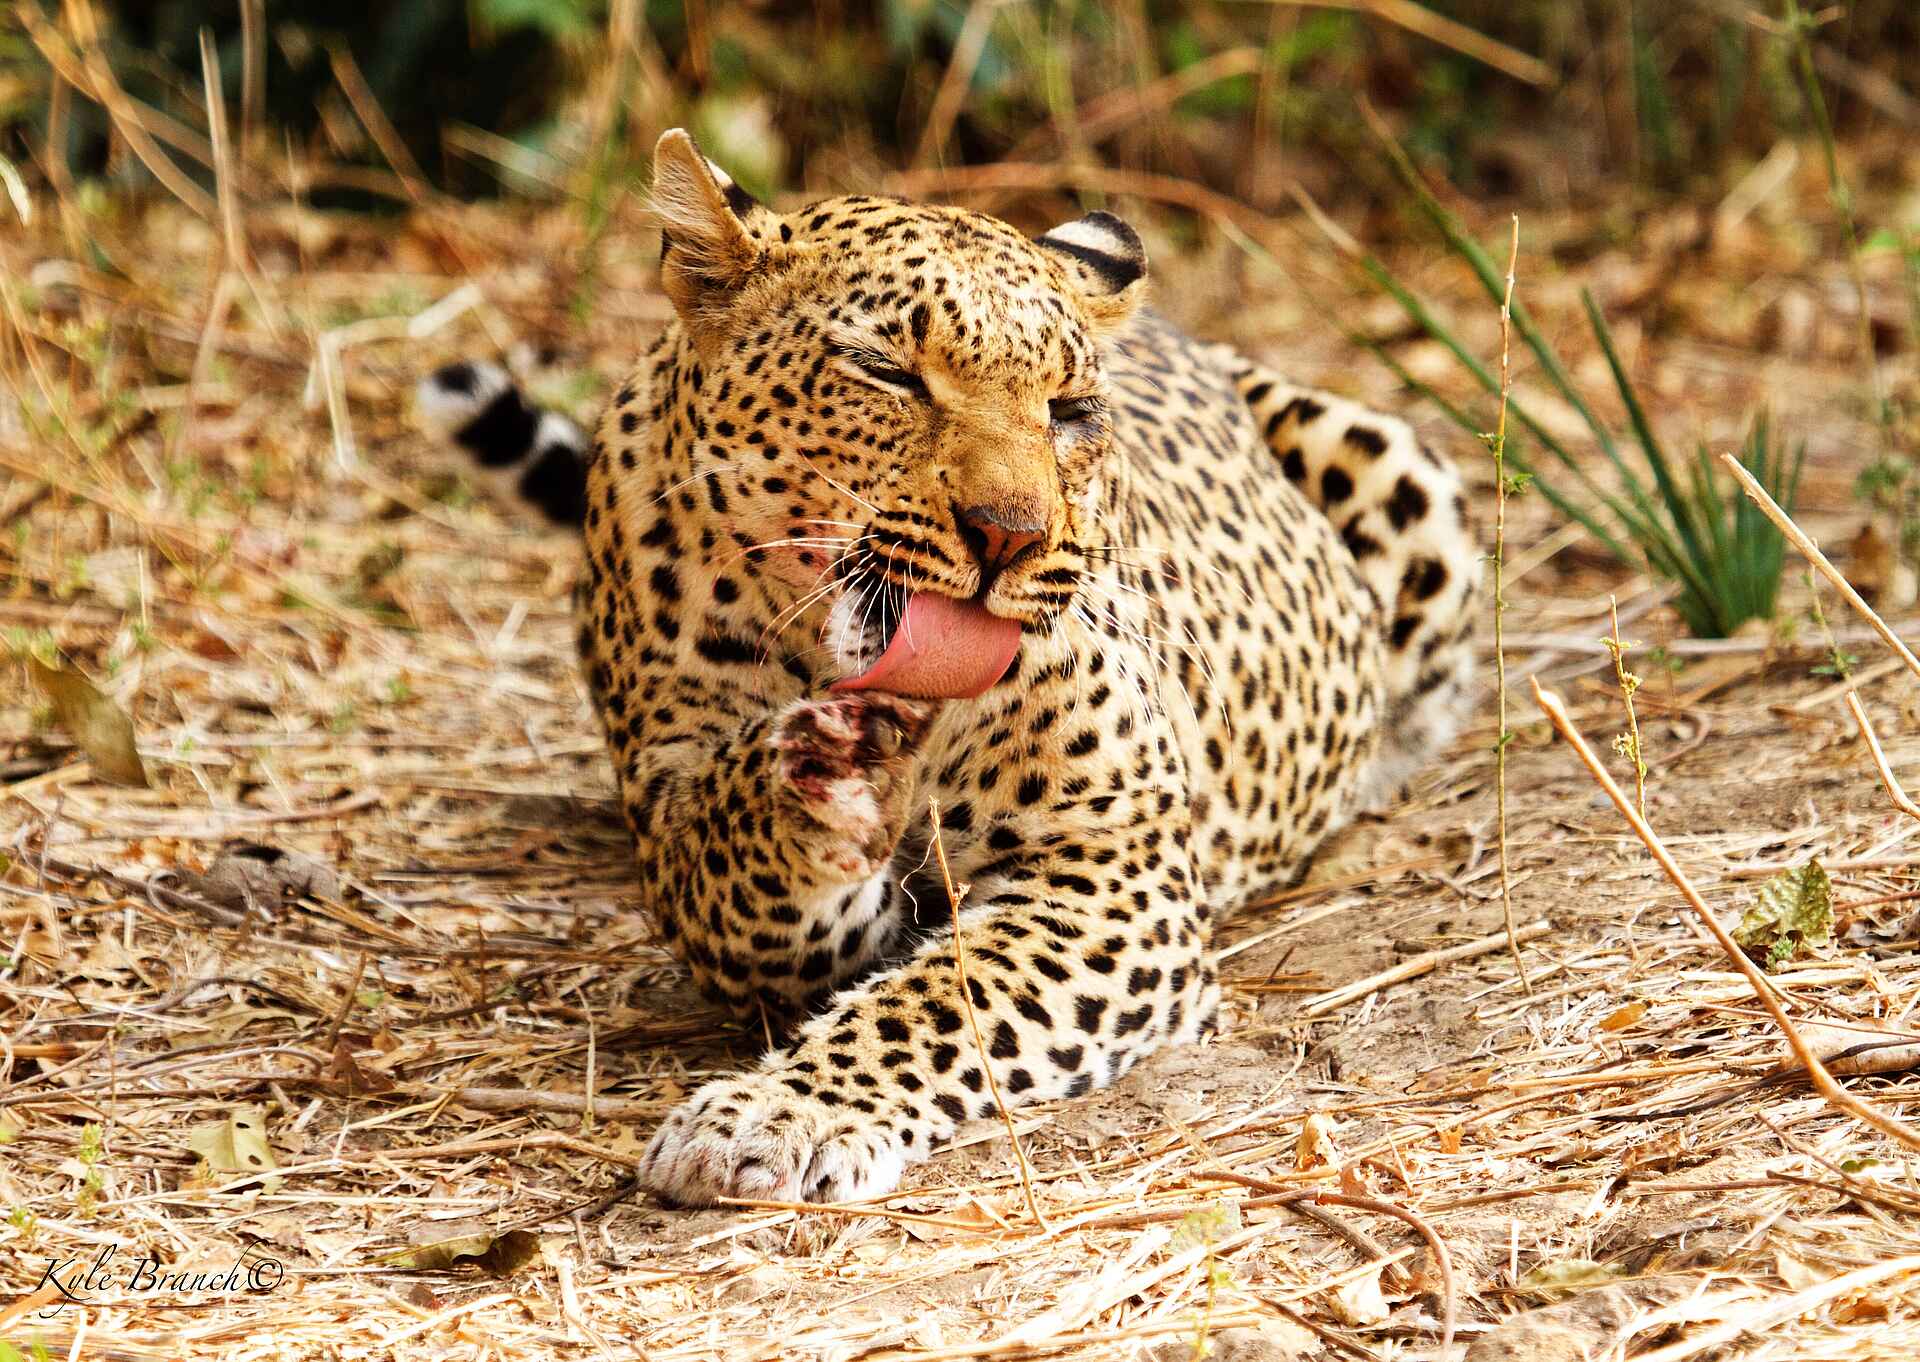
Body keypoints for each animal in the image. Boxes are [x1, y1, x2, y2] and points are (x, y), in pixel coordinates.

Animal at [416, 129, 1480, 1208]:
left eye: (1071, 409)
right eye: (887, 370)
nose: (1010, 534)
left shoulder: (1108, 872)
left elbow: (938, 1003)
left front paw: (776, 1114)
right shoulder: (672, 810)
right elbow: (733, 889)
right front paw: (816, 791)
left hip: (1399, 471)